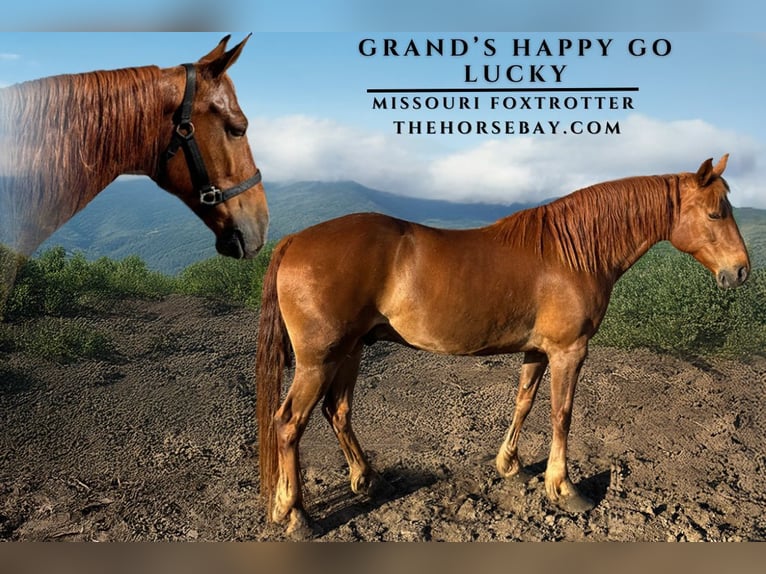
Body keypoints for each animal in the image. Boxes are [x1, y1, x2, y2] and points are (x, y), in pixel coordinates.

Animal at [255, 155, 750, 536]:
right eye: (715, 214)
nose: (741, 271)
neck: (571, 252)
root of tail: (295, 240)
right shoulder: (569, 350)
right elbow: (561, 414)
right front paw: (564, 488)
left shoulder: (538, 350)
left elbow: (524, 401)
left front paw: (510, 464)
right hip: (319, 360)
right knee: (289, 424)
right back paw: (296, 517)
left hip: (351, 350)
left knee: (337, 411)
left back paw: (362, 480)